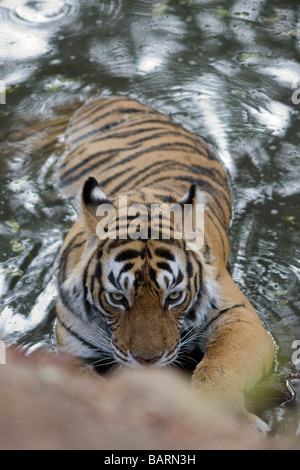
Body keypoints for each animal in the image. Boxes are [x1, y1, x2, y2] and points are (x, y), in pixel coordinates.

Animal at [55, 95, 276, 434]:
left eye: (174, 297)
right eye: (117, 298)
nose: (148, 361)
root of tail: (110, 96)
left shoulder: (239, 318)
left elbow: (219, 371)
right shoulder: (70, 345)